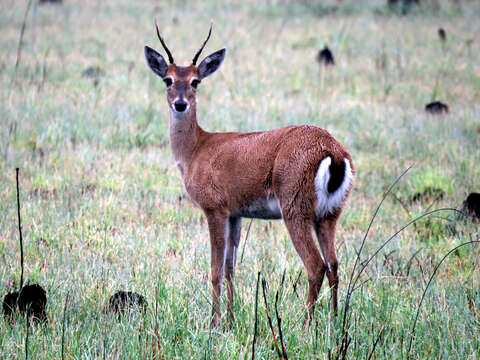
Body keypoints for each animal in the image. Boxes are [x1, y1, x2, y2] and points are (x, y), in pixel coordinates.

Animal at [144, 23, 354, 326]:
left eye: (195, 81)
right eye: (167, 79)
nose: (180, 104)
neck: (196, 149)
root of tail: (334, 152)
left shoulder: (214, 208)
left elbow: (215, 269)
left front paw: (214, 322)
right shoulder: (236, 213)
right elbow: (231, 267)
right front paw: (231, 320)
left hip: (295, 207)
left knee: (315, 266)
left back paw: (305, 326)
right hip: (329, 214)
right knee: (334, 264)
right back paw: (335, 323)